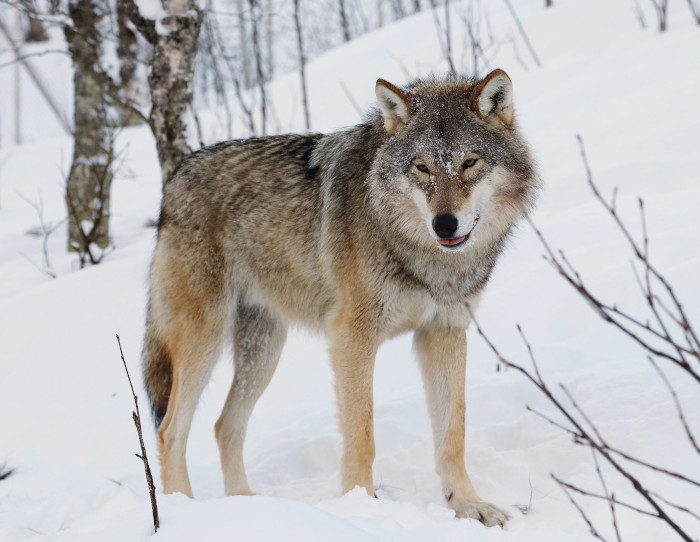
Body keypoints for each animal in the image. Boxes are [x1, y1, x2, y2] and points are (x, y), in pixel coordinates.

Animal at [143, 69, 539, 527]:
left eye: (469, 163)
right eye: (421, 168)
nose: (444, 224)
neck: (423, 257)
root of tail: (176, 176)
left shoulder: (444, 334)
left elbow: (452, 433)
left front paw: (468, 505)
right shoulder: (352, 336)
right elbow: (362, 435)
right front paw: (362, 507)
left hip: (264, 351)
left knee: (225, 426)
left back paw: (250, 507)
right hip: (204, 341)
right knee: (170, 429)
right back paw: (183, 511)